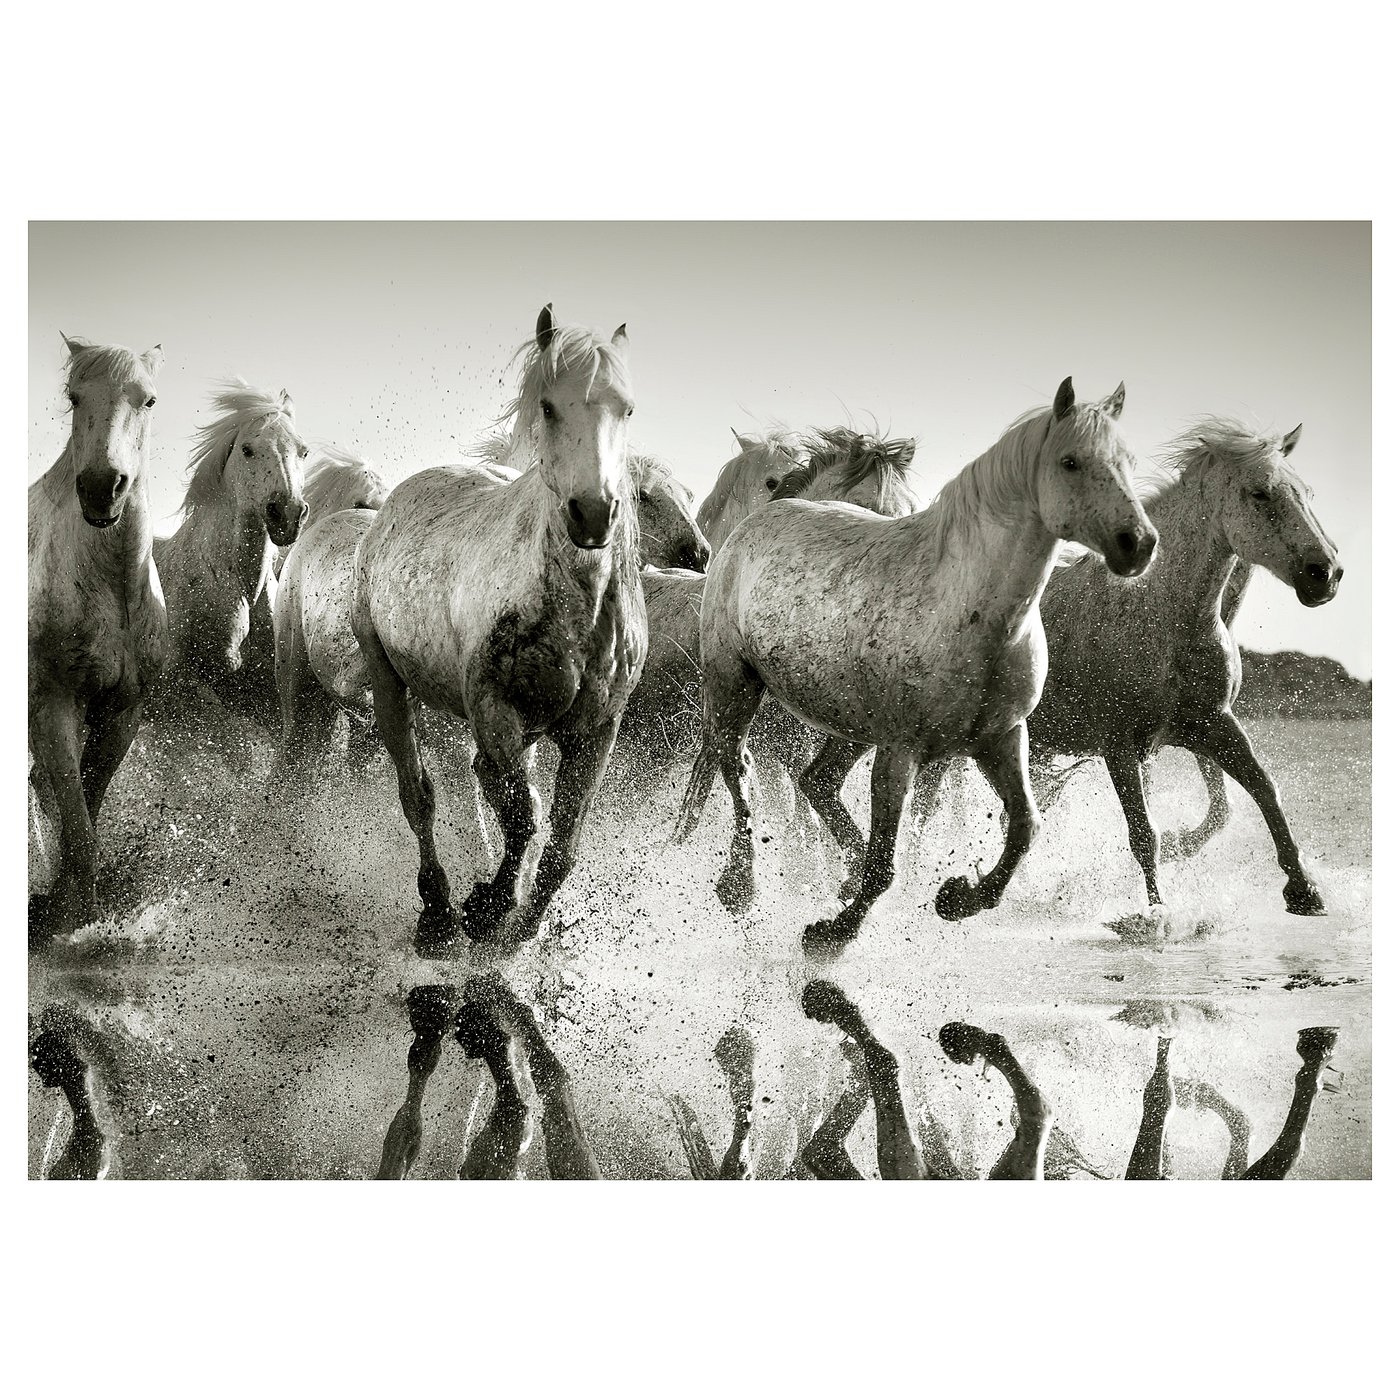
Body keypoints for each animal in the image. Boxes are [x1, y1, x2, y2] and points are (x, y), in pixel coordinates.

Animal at [351, 304, 646, 952]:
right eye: (549, 406)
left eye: (627, 409)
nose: (593, 514)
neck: (576, 612)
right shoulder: (492, 706)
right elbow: (521, 817)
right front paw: (488, 908)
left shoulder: (595, 731)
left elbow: (559, 842)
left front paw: (522, 924)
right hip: (389, 682)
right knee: (420, 796)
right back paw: (437, 910)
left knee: (490, 781)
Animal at [674, 378, 1157, 953]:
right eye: (1070, 461)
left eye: (1129, 461)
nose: (1139, 544)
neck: (973, 610)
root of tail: (757, 523)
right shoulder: (900, 748)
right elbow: (885, 863)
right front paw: (830, 936)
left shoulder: (1000, 738)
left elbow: (1025, 827)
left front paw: (958, 898)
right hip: (734, 685)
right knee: (738, 768)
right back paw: (740, 886)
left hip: (844, 724)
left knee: (812, 780)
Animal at [908, 419, 1341, 915]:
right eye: (1260, 493)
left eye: (1307, 493)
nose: (1326, 573)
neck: (1167, 617)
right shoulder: (1119, 742)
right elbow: (1144, 834)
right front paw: (1156, 915)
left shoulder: (1211, 724)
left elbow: (1260, 792)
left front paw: (1304, 890)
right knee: (924, 813)